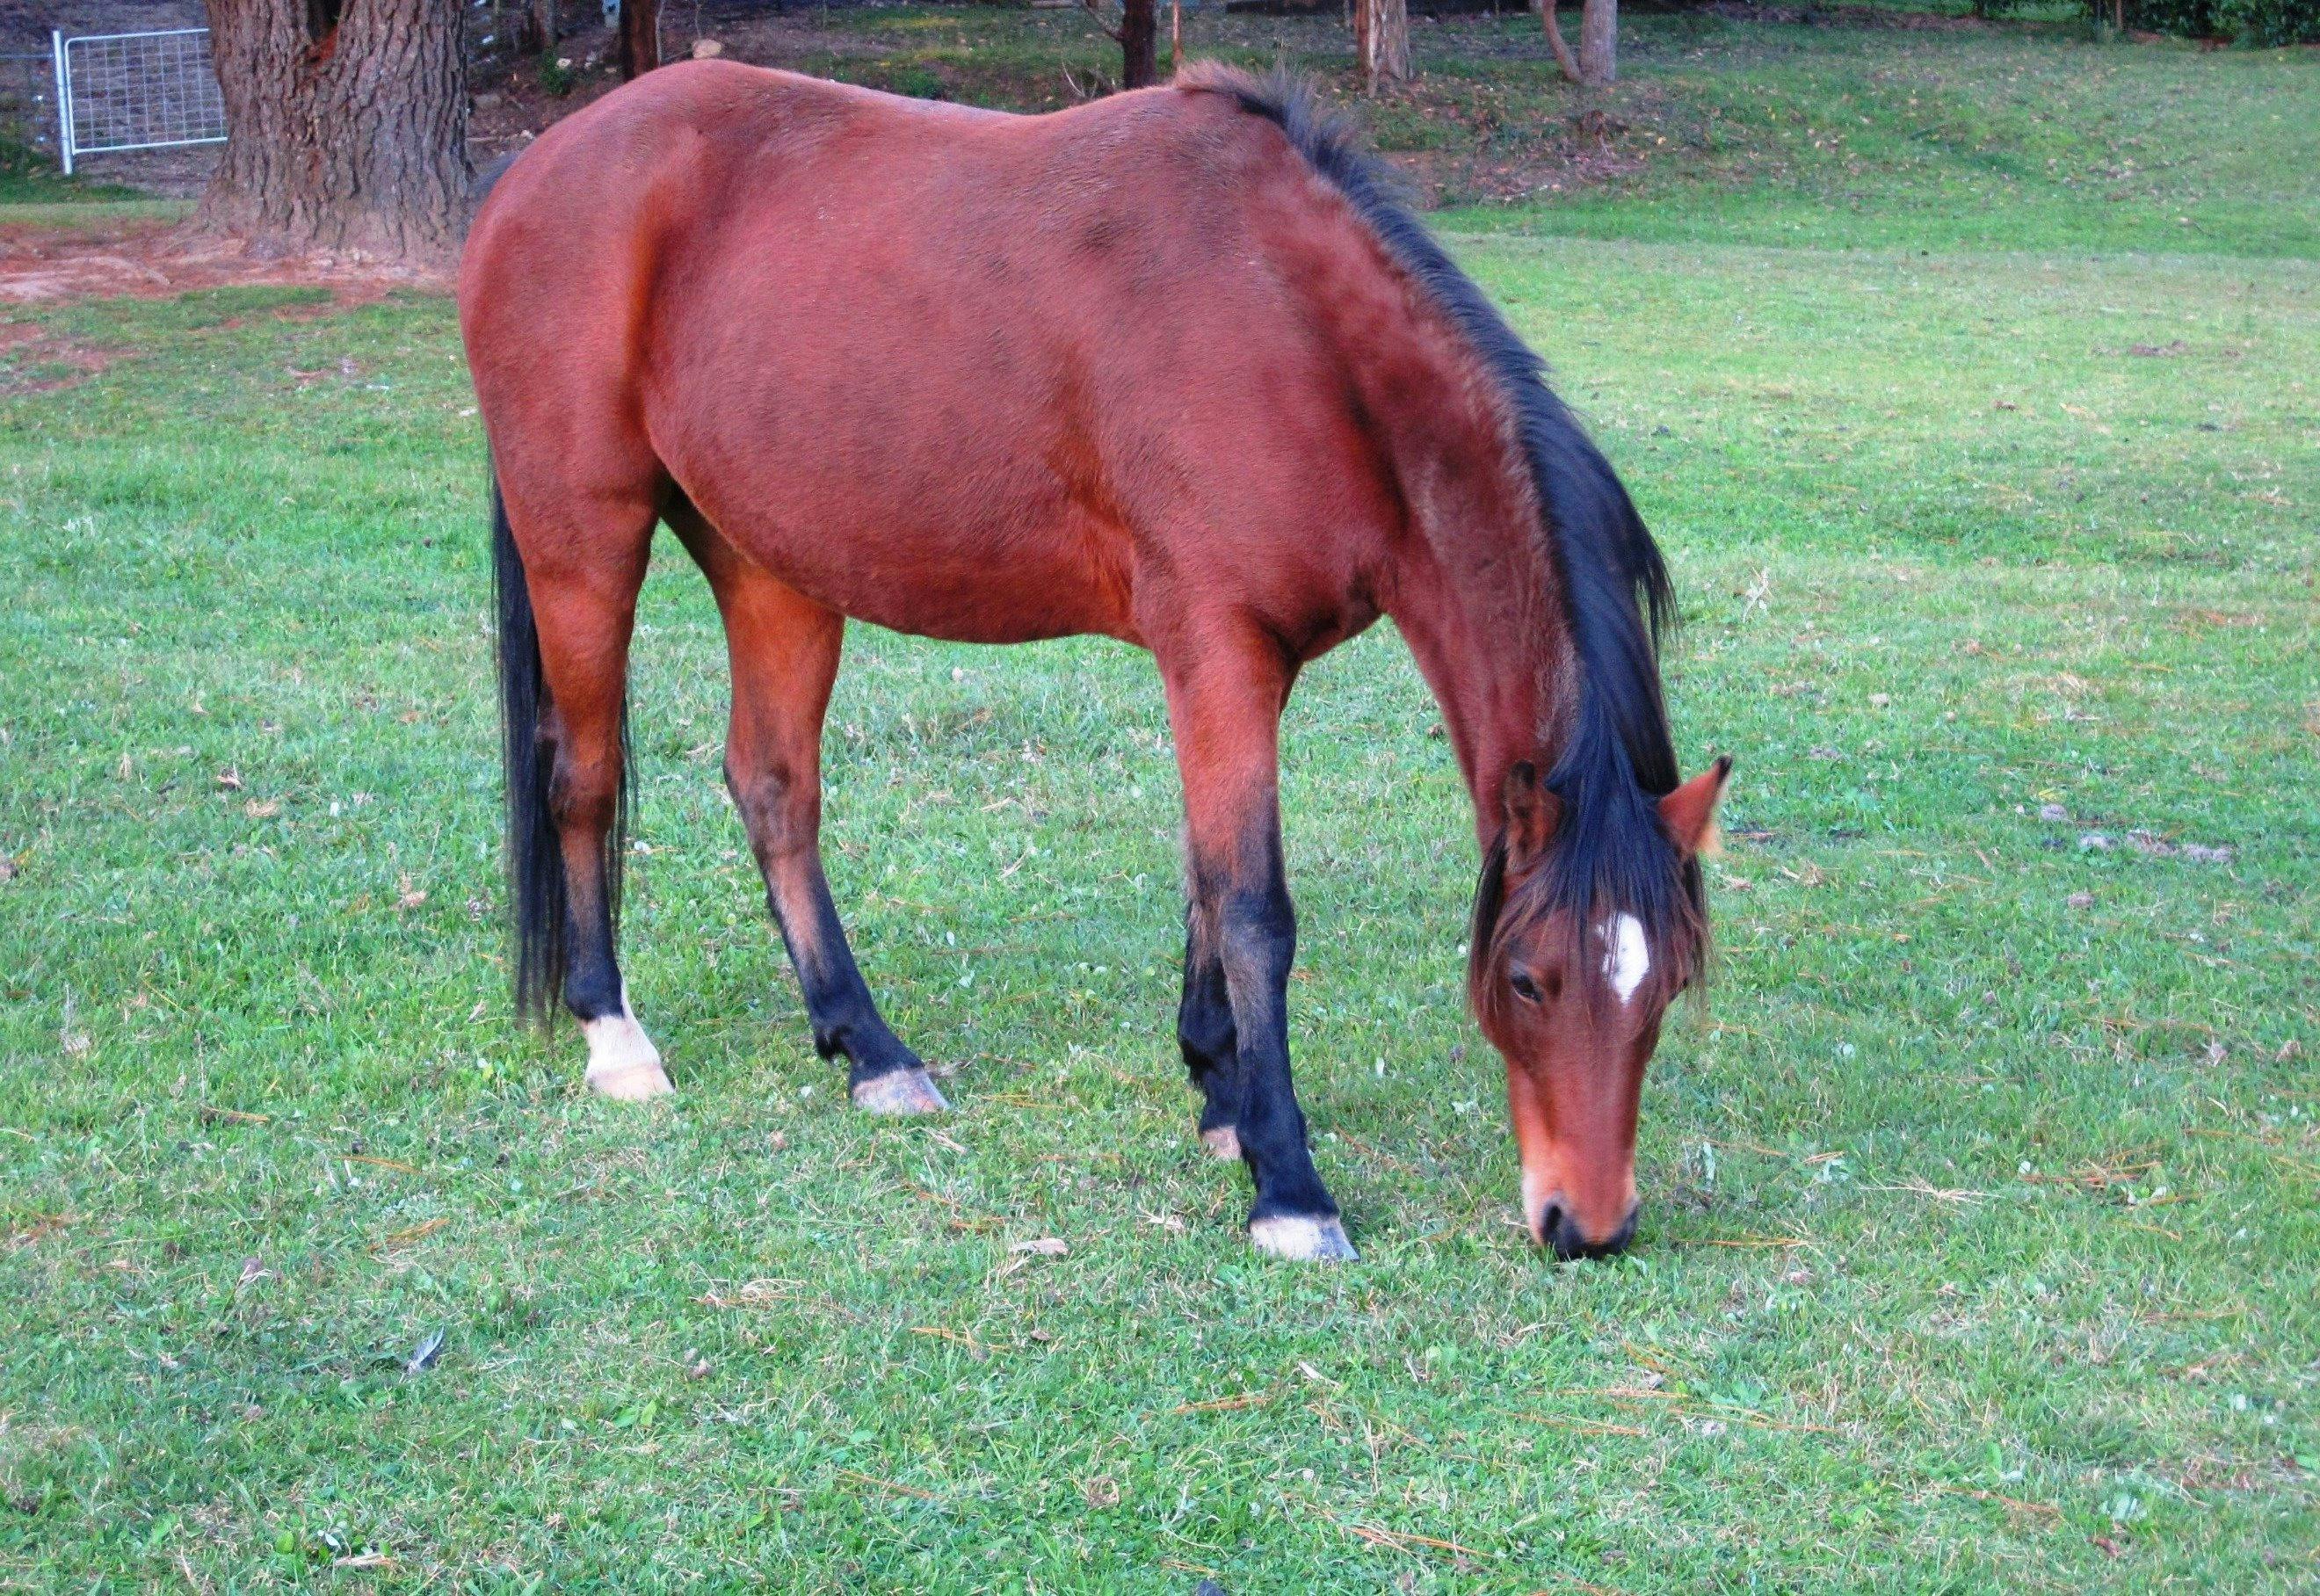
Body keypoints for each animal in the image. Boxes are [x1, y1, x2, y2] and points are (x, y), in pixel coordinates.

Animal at [458, 61, 1731, 1263]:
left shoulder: (1240, 667)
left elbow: (1207, 883)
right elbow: (1255, 908)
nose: (1588, 1225)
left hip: (770, 567)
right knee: (583, 782)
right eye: (1528, 980)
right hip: (585, 542)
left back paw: (867, 1045)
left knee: (773, 791)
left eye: (1665, 983)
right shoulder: (1220, 649)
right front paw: (1286, 1182)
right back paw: (615, 1037)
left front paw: (1219, 1091)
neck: (1292, 330)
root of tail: (534, 170)